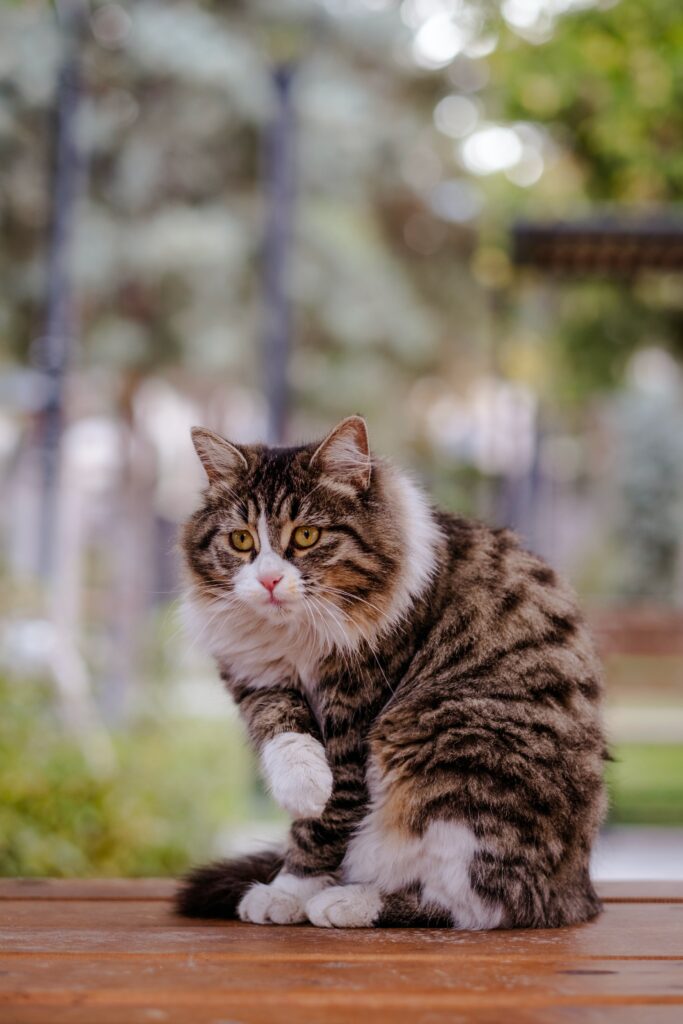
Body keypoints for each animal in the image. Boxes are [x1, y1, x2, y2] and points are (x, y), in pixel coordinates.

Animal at [178, 413, 610, 929]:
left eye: (306, 536)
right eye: (241, 540)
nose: (268, 580)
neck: (296, 637)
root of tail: (579, 891)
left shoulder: (357, 716)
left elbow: (326, 822)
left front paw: (288, 891)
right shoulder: (260, 679)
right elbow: (283, 729)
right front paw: (302, 784)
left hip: (452, 746)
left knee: (484, 903)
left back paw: (350, 901)